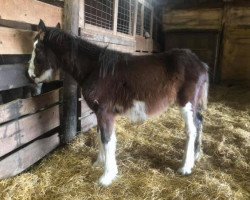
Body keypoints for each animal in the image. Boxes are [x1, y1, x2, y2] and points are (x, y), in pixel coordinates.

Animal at [28, 20, 209, 186]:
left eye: (38, 50)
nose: (30, 76)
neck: (95, 69)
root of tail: (201, 64)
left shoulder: (105, 112)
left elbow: (107, 138)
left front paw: (107, 176)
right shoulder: (99, 112)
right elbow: (101, 136)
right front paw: (99, 163)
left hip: (187, 103)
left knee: (191, 130)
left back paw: (186, 167)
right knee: (199, 122)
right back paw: (197, 155)